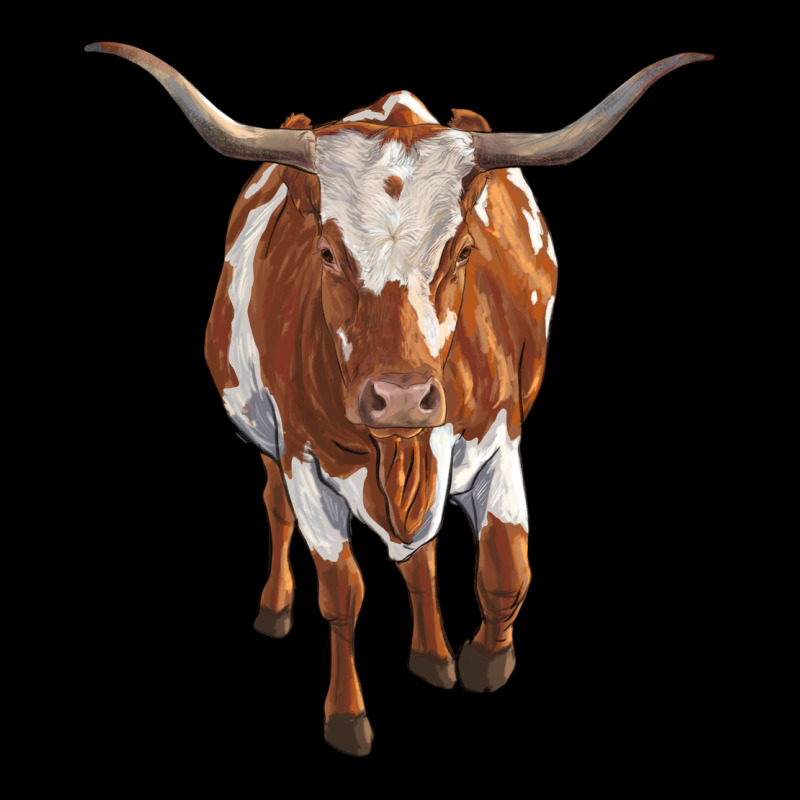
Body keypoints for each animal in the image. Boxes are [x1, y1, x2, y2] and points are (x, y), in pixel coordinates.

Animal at [86, 43, 712, 756]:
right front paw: (347, 717)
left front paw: (483, 660)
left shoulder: (499, 441)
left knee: (422, 558)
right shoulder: (304, 463)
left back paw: (433, 657)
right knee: (275, 509)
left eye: (463, 251)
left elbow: (505, 567)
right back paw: (275, 608)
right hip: (263, 439)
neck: (398, 456)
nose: (403, 398)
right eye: (327, 253)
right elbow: (342, 593)